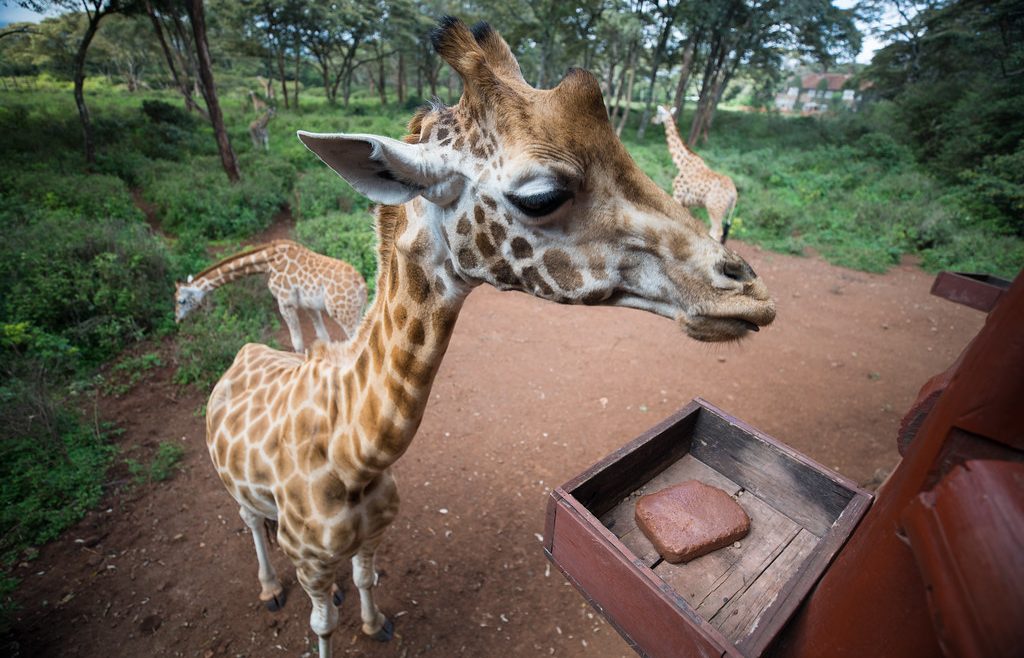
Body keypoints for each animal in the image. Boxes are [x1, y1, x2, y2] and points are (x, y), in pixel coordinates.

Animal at [175, 240, 367, 351]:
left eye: (181, 301)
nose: (178, 320)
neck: (267, 261)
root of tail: (362, 285)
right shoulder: (308, 304)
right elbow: (323, 337)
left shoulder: (285, 302)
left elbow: (297, 343)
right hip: (358, 311)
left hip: (344, 314)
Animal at [652, 104, 738, 243]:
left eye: (659, 113)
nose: (653, 120)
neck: (683, 162)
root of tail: (734, 194)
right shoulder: (687, 203)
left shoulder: (678, 195)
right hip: (723, 212)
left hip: (714, 208)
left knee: (716, 232)